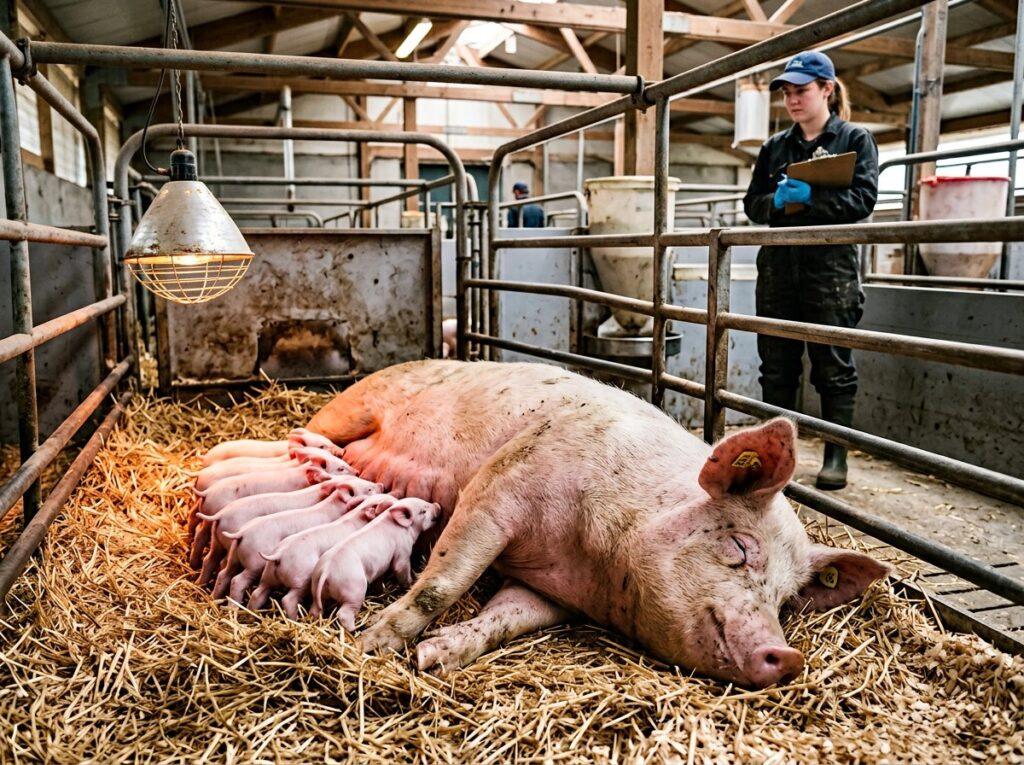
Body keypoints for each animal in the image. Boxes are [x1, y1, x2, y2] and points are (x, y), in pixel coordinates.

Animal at [196, 476, 382, 585]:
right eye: (368, 489)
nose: (380, 484)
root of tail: (222, 515)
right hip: (253, 559)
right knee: (236, 578)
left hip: (221, 543)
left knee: (214, 563)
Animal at [248, 493, 397, 616]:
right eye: (388, 503)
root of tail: (280, 554)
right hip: (300, 578)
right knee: (288, 599)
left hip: (268, 574)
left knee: (258, 592)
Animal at [309, 497, 442, 629]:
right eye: (423, 511)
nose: (437, 505)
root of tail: (327, 570)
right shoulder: (403, 550)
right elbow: (400, 568)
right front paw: (411, 583)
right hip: (354, 589)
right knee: (344, 614)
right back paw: (356, 629)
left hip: (316, 587)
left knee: (315, 609)